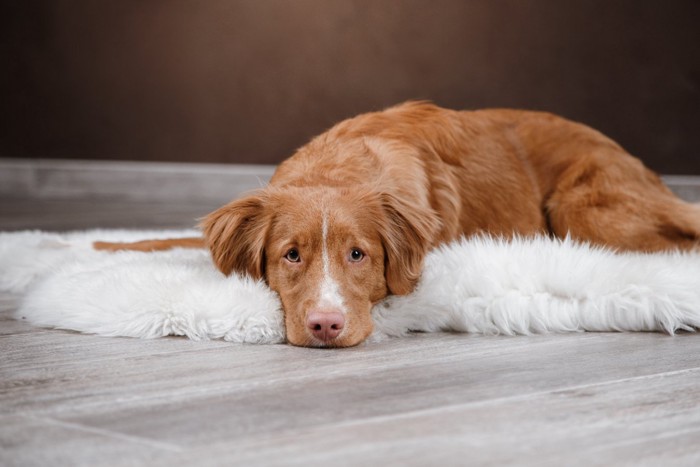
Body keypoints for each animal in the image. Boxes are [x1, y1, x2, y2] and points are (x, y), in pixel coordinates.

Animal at [94, 101, 700, 348]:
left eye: (358, 254)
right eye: (291, 254)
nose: (325, 326)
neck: (337, 166)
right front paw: (105, 245)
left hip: (586, 209)